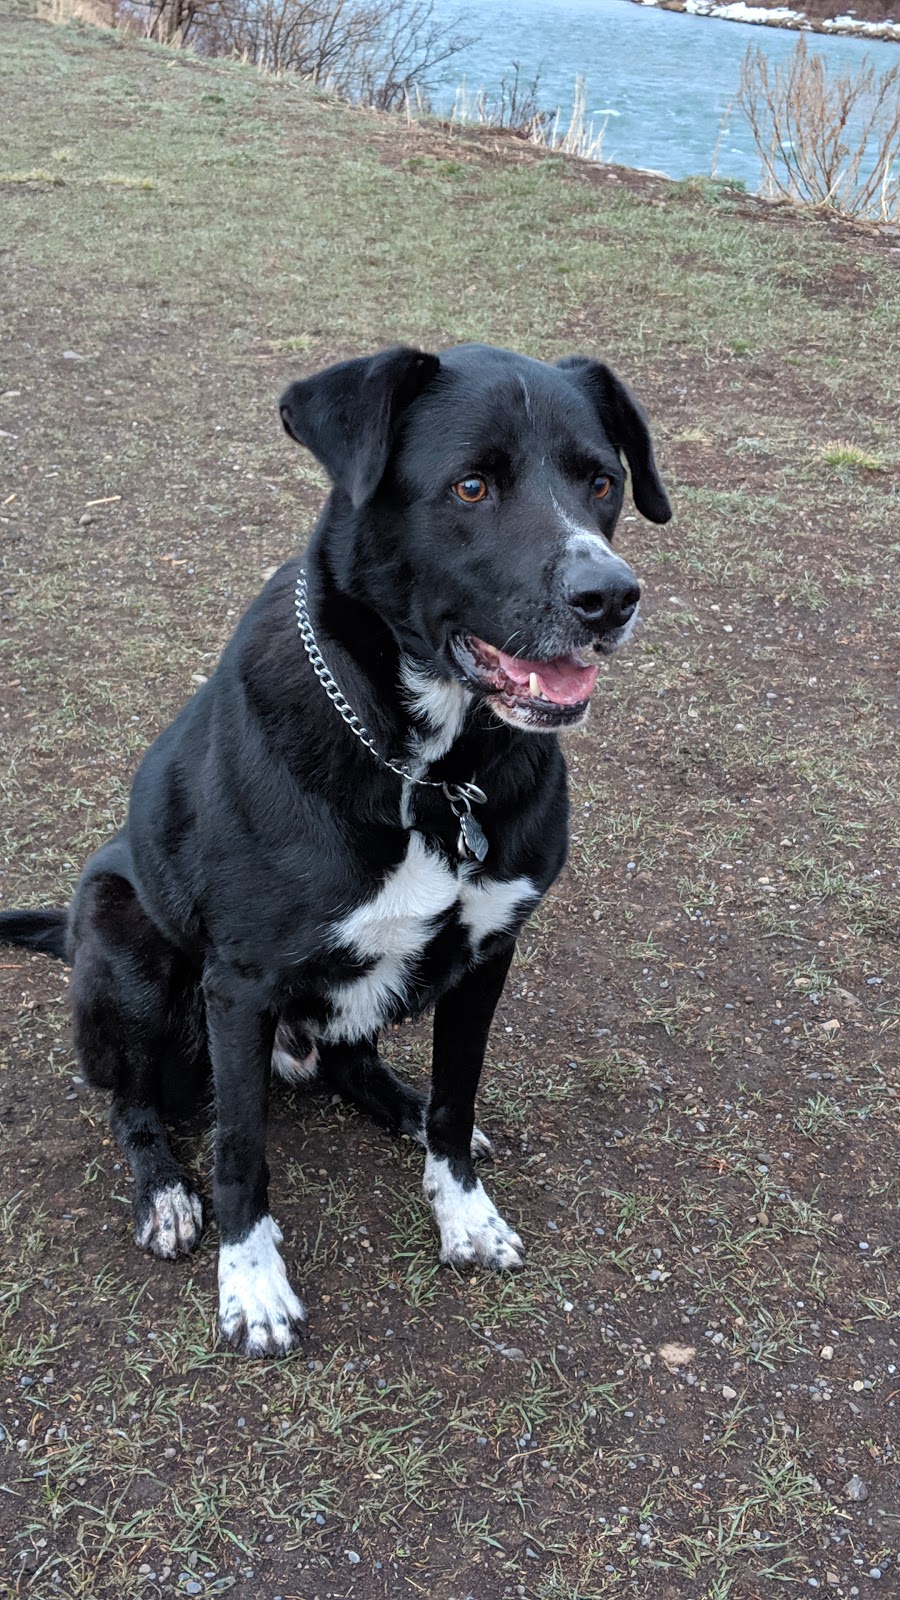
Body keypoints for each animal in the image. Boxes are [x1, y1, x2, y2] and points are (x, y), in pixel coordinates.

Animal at [0, 344, 666, 1356]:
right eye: (471, 486)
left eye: (602, 481)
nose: (610, 598)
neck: (433, 771)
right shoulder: (239, 984)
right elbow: (241, 1150)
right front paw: (252, 1284)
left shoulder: (487, 955)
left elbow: (457, 1098)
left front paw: (463, 1212)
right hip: (124, 945)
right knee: (132, 1101)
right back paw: (163, 1192)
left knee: (358, 1066)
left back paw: (400, 1108)